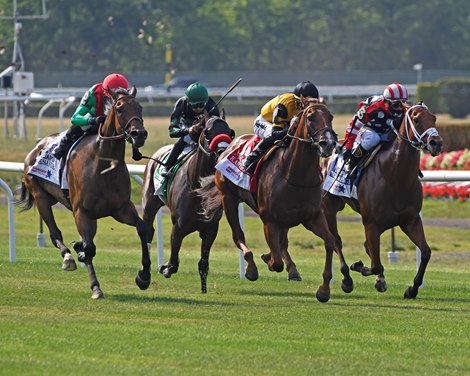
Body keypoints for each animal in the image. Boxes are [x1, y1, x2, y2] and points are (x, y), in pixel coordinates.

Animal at [18, 86, 150, 298]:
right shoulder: (81, 212)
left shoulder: (121, 209)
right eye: (120, 108)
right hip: (41, 197)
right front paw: (95, 287)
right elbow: (89, 248)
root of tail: (36, 147)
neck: (103, 164)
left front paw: (144, 276)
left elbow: (142, 228)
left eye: (140, 107)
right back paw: (68, 257)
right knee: (55, 234)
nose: (139, 134)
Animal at [140, 111, 235, 294]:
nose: (223, 150)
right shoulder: (178, 227)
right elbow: (173, 264)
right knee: (147, 230)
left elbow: (203, 265)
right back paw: (143, 276)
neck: (196, 187)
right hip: (149, 202)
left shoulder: (210, 230)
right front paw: (163, 268)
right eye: (207, 132)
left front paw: (204, 291)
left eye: (231, 132)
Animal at [197, 102, 352, 302]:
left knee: (283, 242)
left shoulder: (313, 217)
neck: (296, 175)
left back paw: (290, 269)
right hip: (228, 199)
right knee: (238, 236)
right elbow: (277, 262)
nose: (328, 143)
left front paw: (325, 289)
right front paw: (267, 261)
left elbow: (330, 241)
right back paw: (251, 268)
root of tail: (227, 148)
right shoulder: (269, 221)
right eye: (310, 117)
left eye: (330, 117)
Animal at [324, 103, 444, 300]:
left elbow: (426, 252)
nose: (437, 143)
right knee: (335, 241)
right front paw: (358, 266)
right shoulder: (371, 224)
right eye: (417, 119)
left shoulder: (410, 221)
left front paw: (412, 289)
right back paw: (347, 279)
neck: (394, 175)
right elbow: (375, 264)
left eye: (434, 118)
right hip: (328, 207)